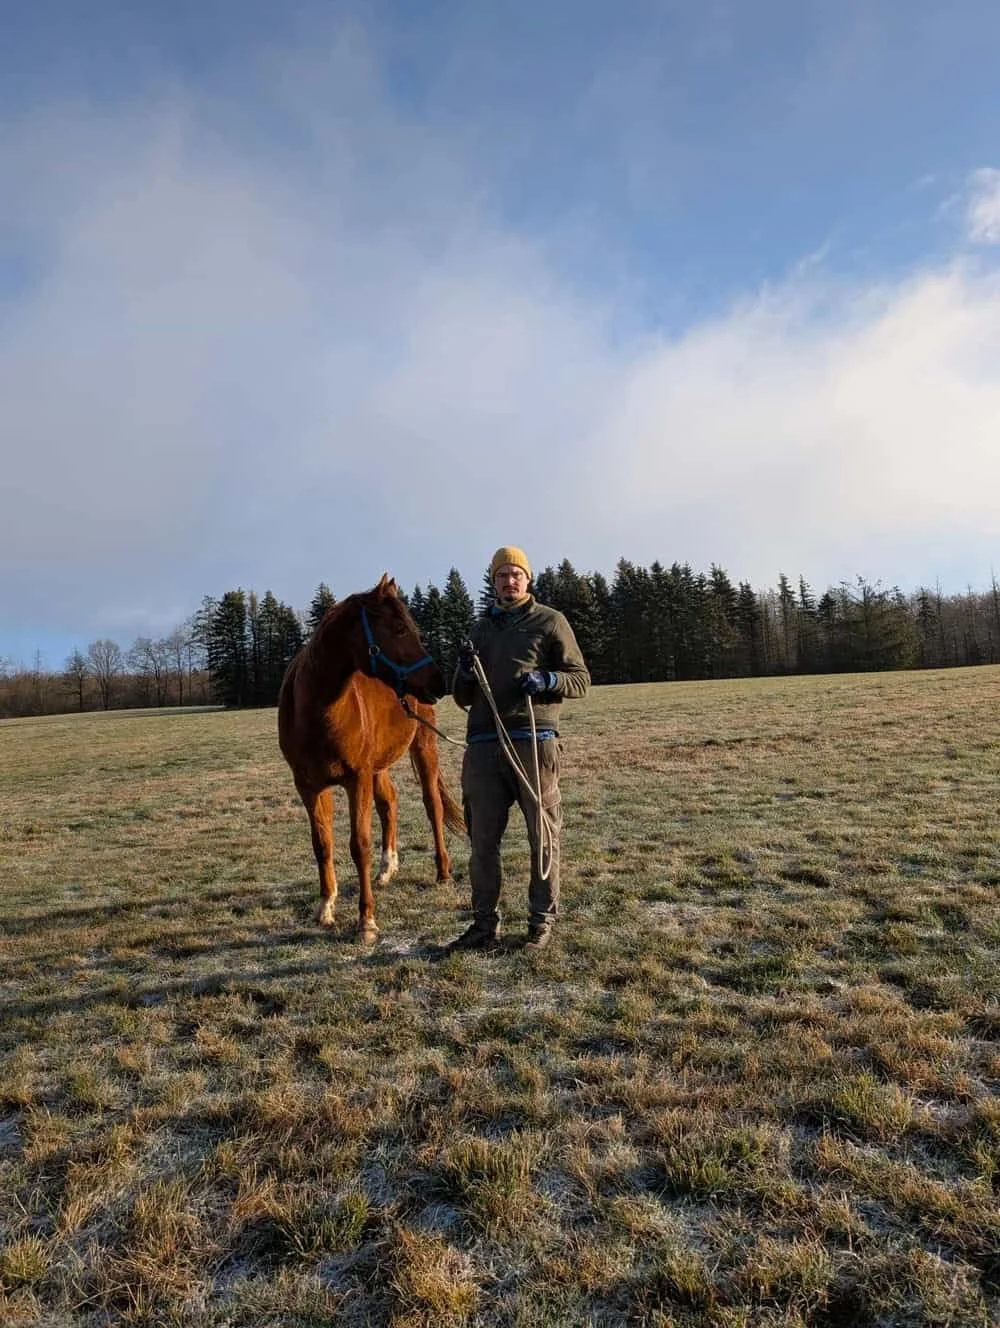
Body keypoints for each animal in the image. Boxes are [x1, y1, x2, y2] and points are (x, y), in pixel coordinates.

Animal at [278, 574, 465, 942]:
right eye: (399, 629)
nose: (438, 681)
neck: (317, 712)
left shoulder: (356, 779)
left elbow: (359, 844)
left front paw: (366, 921)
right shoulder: (309, 786)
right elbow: (322, 844)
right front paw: (326, 908)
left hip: (422, 748)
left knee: (432, 806)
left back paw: (443, 872)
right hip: (378, 765)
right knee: (389, 802)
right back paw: (387, 868)